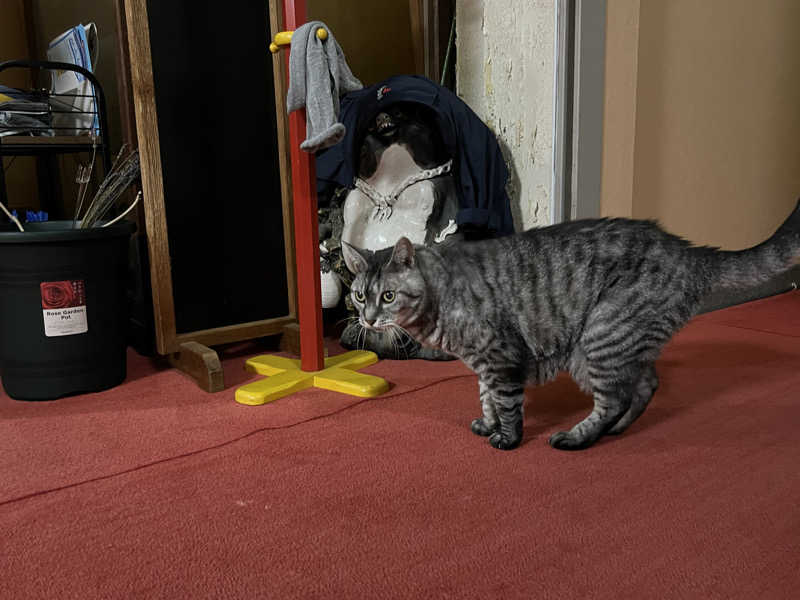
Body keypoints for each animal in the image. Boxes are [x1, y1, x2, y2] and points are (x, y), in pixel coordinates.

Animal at [340, 200, 800, 450]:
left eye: (388, 296)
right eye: (360, 295)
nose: (367, 318)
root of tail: (687, 250)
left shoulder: (501, 357)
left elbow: (506, 403)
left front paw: (506, 439)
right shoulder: (486, 364)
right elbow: (486, 398)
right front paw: (487, 424)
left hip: (600, 336)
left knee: (615, 397)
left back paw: (577, 438)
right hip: (614, 342)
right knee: (644, 386)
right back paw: (615, 430)